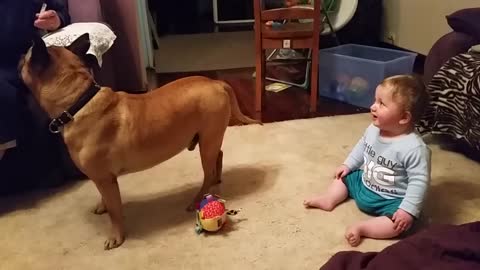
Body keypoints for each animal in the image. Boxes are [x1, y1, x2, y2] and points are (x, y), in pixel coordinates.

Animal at [18, 34, 260, 251]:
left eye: (24, 58)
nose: (18, 57)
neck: (78, 101)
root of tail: (216, 82)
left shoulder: (105, 179)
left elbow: (115, 211)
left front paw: (116, 236)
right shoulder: (101, 178)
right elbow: (104, 199)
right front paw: (102, 206)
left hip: (207, 143)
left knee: (207, 172)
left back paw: (197, 199)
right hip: (209, 138)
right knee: (218, 157)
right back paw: (216, 180)